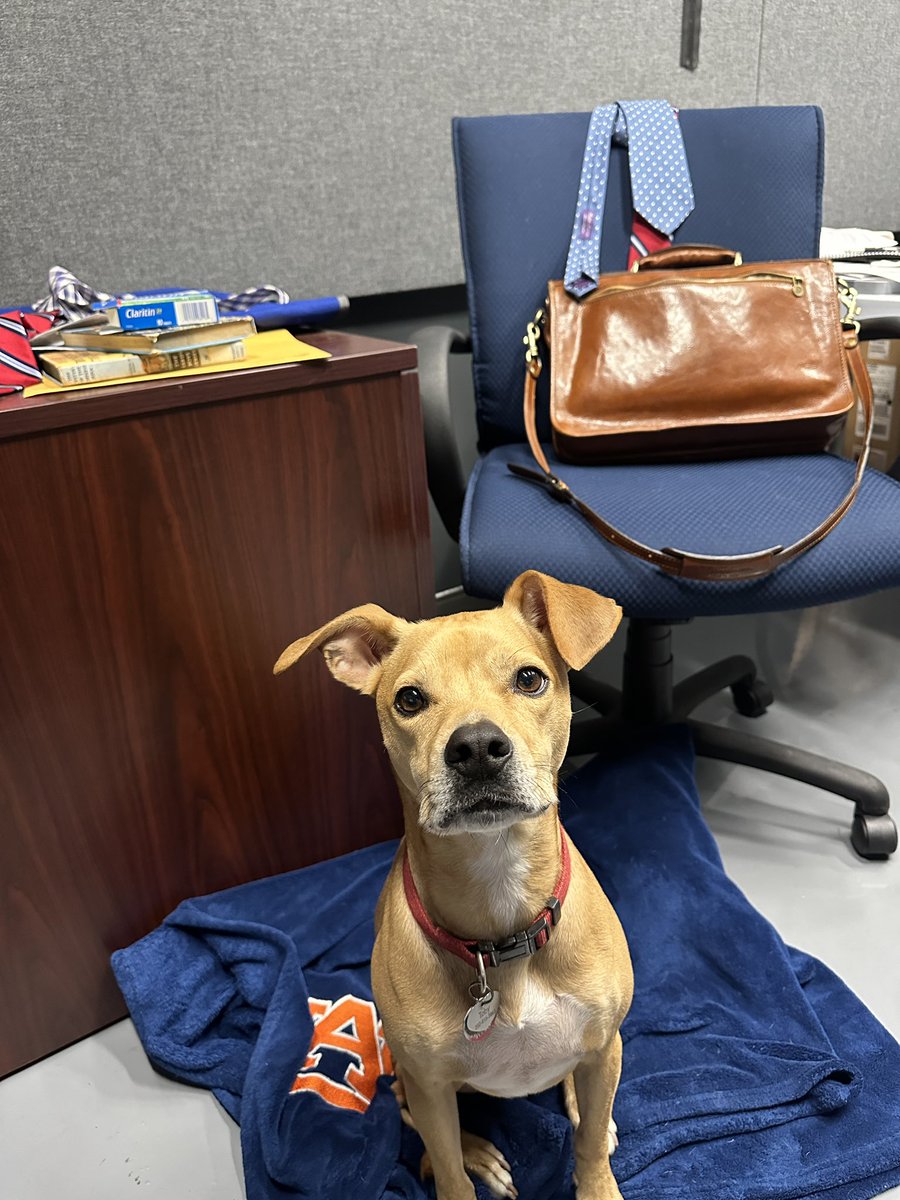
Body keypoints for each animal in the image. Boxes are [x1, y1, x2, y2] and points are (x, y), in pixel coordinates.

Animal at [274, 571, 633, 1200]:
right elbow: (446, 1171)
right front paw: (463, 1166)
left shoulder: (602, 1042)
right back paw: (479, 1153)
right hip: (409, 1077)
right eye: (410, 699)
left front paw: (596, 1180)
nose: (477, 748)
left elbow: (588, 1144)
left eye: (529, 678)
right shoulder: (431, 1084)